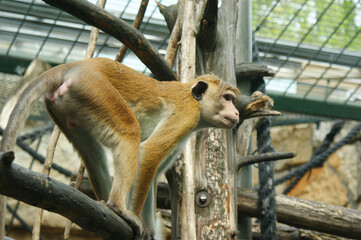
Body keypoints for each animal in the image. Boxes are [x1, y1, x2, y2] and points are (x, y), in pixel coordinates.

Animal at [0, 57, 278, 238]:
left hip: (71, 106)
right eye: (227, 98)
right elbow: (150, 153)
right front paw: (137, 216)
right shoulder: (186, 115)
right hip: (95, 89)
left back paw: (104, 209)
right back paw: (117, 207)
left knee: (92, 152)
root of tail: (71, 67)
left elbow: (153, 172)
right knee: (129, 134)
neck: (195, 101)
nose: (235, 112)